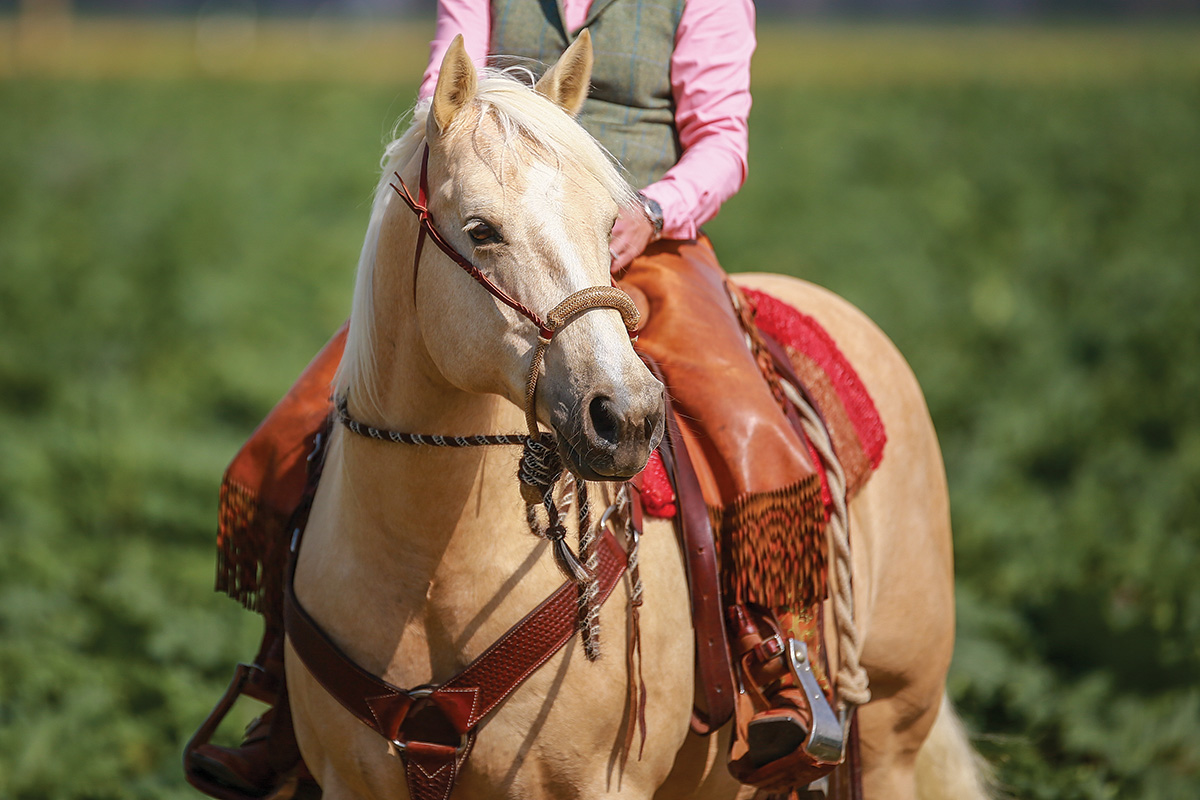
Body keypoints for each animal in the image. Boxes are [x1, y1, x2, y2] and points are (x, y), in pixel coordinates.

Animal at [285, 31, 988, 800]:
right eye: (481, 229)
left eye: (606, 226)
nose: (624, 417)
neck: (428, 568)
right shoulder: (347, 780)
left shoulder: (598, 783)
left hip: (891, 731)